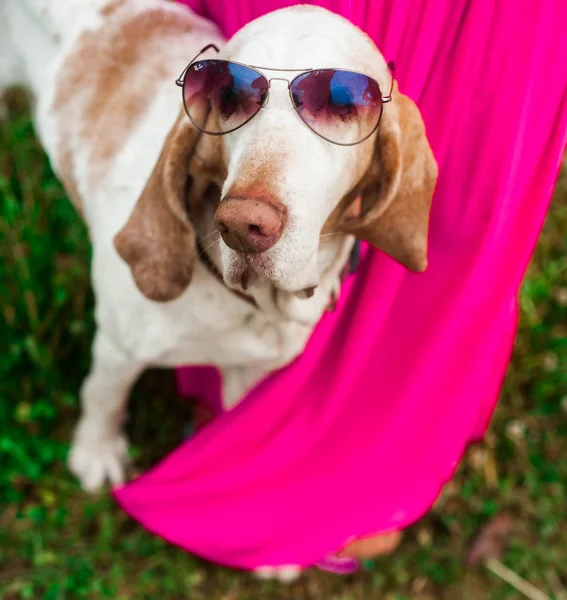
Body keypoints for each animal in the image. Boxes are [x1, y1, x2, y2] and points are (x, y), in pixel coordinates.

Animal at [0, 0, 438, 576]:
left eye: (342, 104)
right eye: (229, 98)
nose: (242, 224)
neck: (249, 305)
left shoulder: (247, 375)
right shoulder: (118, 345)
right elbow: (103, 397)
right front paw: (96, 454)